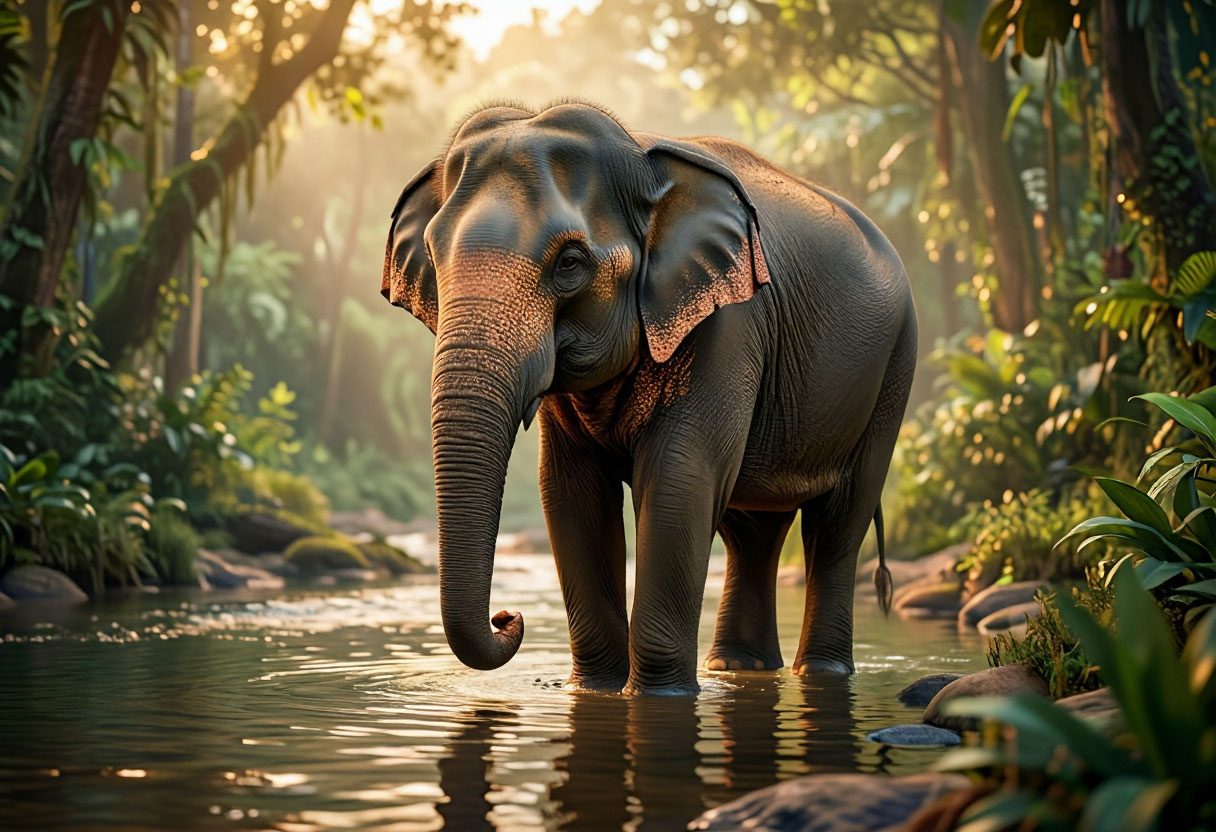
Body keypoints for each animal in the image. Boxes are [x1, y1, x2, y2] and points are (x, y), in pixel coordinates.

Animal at [381, 100, 916, 695]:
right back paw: (740, 668)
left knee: (838, 524)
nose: (508, 617)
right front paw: (596, 689)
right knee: (752, 530)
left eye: (570, 263)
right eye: (433, 255)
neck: (641, 156)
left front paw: (659, 695)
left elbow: (679, 477)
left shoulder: (729, 322)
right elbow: (569, 491)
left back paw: (817, 672)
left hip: (895, 367)